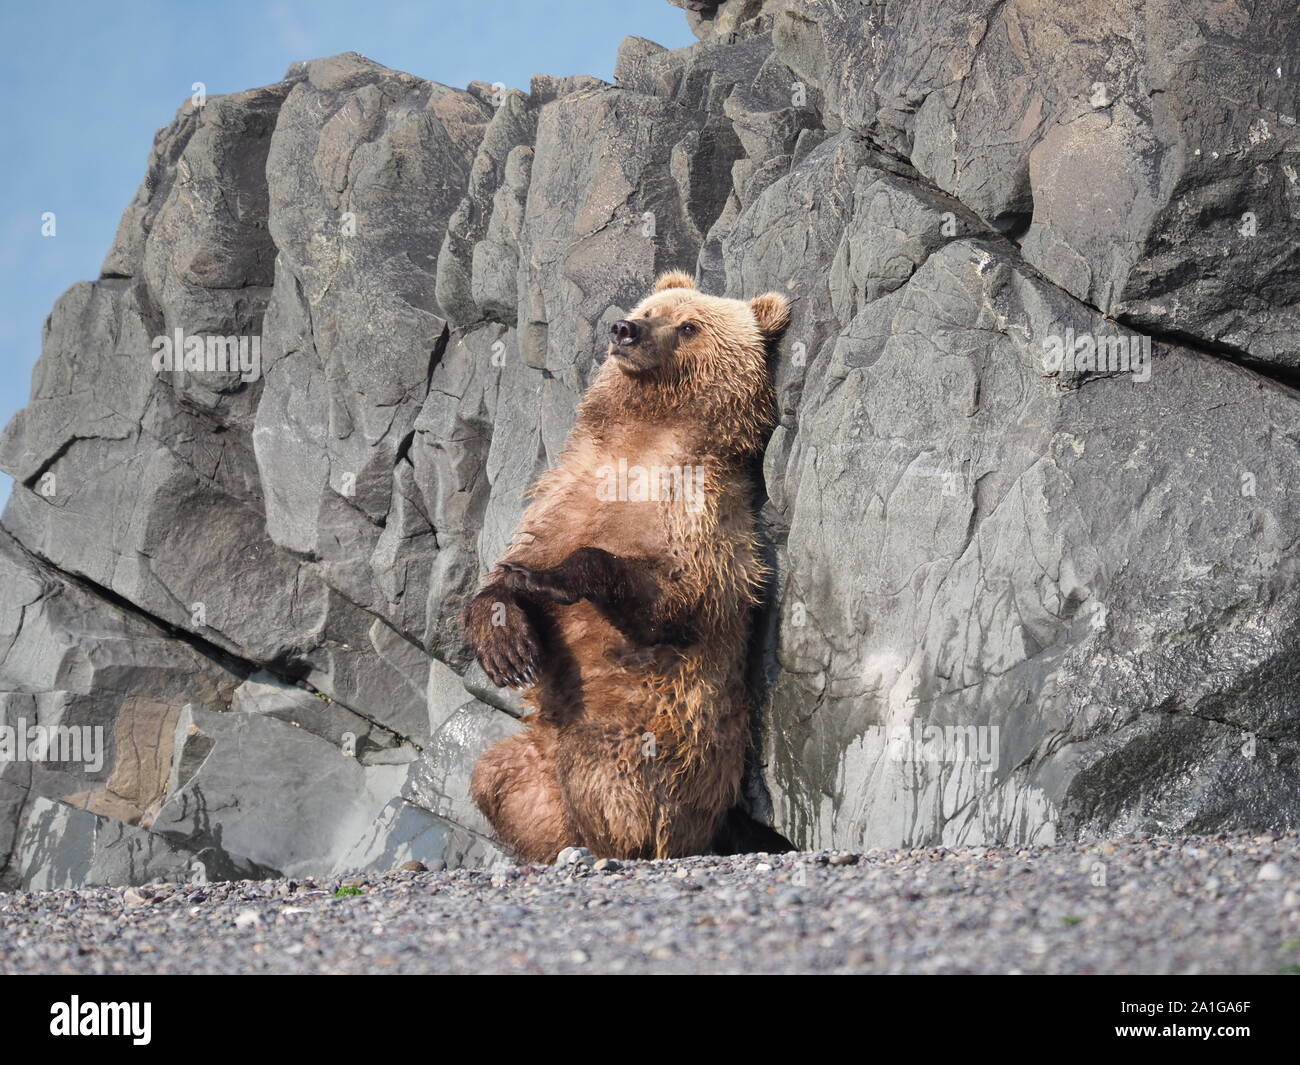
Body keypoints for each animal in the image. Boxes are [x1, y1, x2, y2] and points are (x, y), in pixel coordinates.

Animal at [467, 270, 790, 863]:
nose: (626, 329)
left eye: (688, 325)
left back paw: (608, 844)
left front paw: (557, 578)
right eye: (649, 308)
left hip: (654, 747)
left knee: (604, 776)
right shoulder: (566, 495)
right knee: (498, 777)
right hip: (534, 758)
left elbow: (675, 599)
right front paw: (507, 643)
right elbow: (509, 568)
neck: (643, 438)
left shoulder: (702, 522)